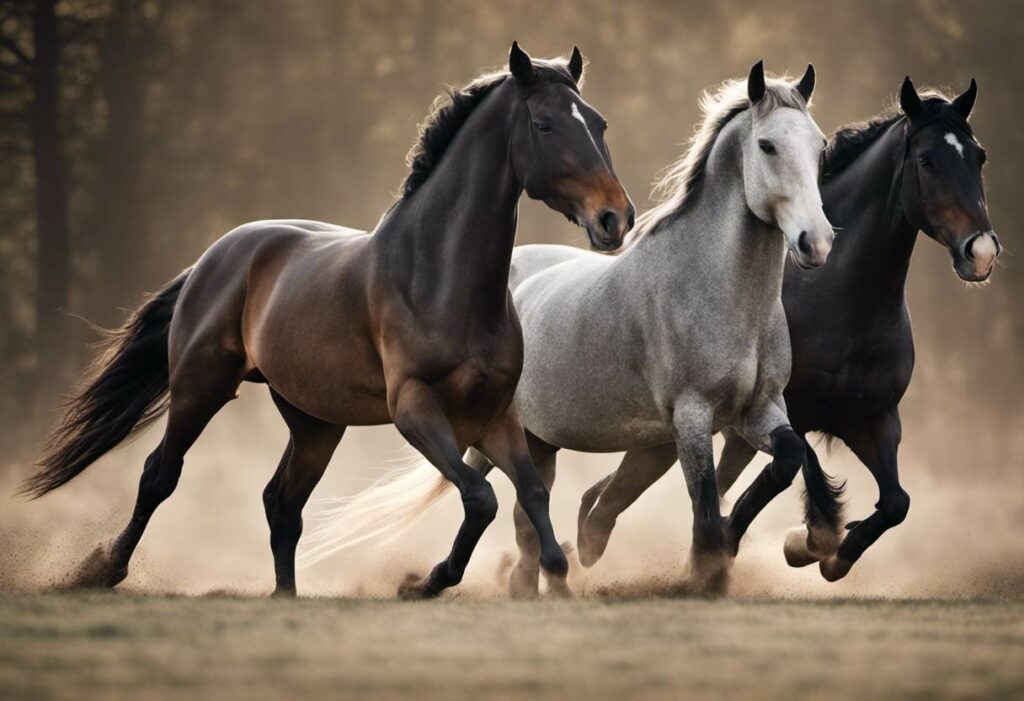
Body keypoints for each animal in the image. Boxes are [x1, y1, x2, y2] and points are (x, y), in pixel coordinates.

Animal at [22, 42, 630, 597]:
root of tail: (217, 254)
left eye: (599, 122)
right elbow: (480, 498)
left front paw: (554, 580)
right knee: (159, 475)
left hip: (315, 421)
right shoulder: (413, 408)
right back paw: (102, 570)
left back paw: (285, 594)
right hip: (201, 386)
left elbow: (531, 496)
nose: (614, 218)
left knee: (280, 502)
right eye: (544, 124)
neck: (437, 276)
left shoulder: (493, 413)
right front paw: (426, 583)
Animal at [307, 61, 835, 597]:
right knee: (488, 494)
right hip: (491, 429)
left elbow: (788, 459)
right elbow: (704, 506)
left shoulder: (756, 409)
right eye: (767, 146)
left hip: (537, 439)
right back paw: (446, 578)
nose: (815, 243)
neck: (719, 291)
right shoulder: (693, 415)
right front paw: (706, 572)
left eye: (819, 146)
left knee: (525, 508)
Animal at [577, 75, 999, 581]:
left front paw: (835, 555)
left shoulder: (875, 418)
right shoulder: (780, 412)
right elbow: (797, 470)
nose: (981, 252)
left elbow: (897, 502)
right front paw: (809, 540)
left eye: (978, 156)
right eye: (926, 161)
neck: (841, 304)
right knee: (624, 491)